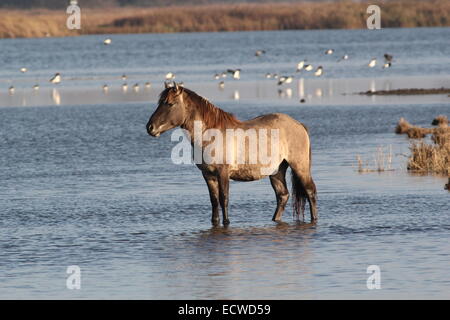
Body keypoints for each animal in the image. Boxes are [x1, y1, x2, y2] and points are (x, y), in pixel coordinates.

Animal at [147, 82, 316, 228]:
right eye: (160, 102)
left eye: (170, 103)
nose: (150, 127)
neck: (211, 136)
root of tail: (299, 124)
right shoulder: (208, 175)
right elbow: (214, 200)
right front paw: (215, 221)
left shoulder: (223, 173)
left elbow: (224, 199)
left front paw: (226, 223)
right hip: (276, 170)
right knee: (283, 196)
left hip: (299, 167)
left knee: (310, 191)